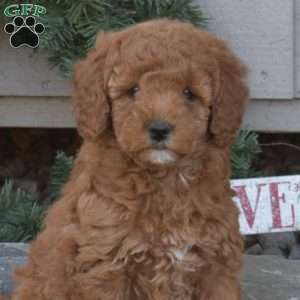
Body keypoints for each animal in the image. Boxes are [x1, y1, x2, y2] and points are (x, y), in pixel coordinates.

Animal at [9, 19, 248, 300]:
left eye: (189, 93)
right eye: (133, 90)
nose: (159, 129)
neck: (164, 180)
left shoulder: (217, 262)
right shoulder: (106, 264)